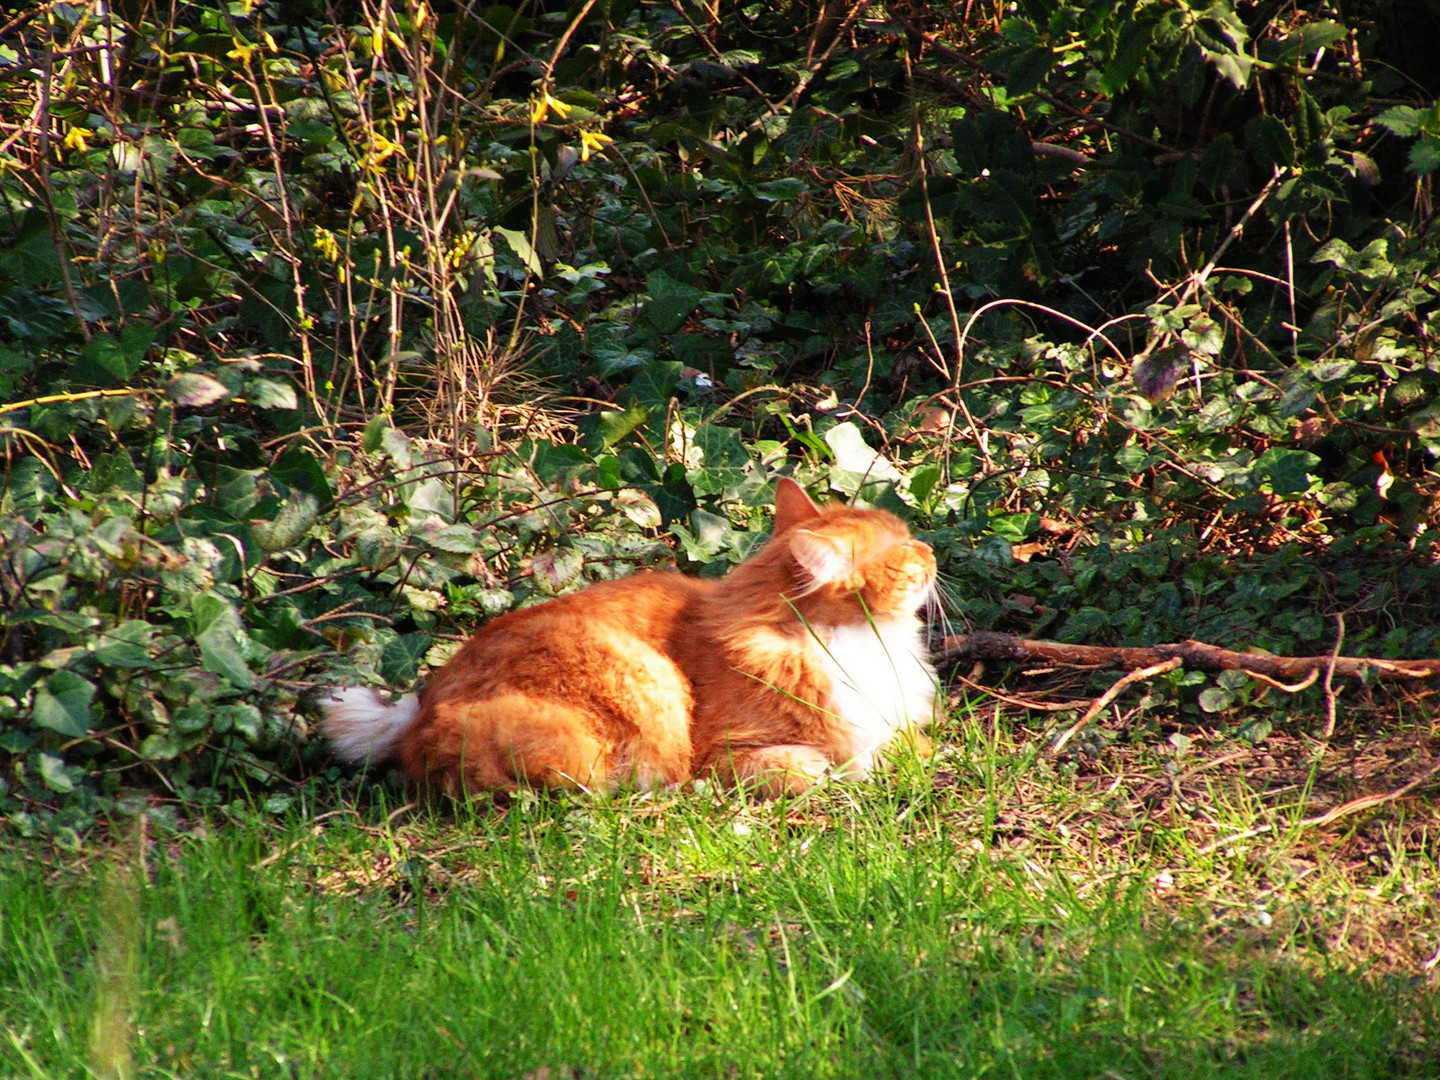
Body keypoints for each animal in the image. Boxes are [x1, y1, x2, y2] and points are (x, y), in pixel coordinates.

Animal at [321, 478, 938, 800]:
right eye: (904, 553)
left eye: (910, 536)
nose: (931, 550)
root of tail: (420, 714)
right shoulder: (722, 754)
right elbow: (811, 765)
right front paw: (846, 768)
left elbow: (913, 744)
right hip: (641, 681)